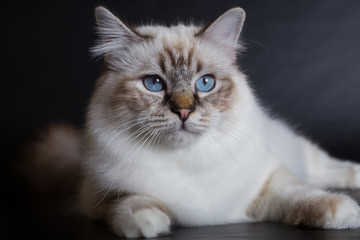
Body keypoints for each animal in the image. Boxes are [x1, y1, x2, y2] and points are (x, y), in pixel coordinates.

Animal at [28, 5, 360, 238]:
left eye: (205, 83)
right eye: (153, 84)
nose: (184, 111)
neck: (188, 160)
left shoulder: (268, 181)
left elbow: (302, 195)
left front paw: (344, 211)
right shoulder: (100, 194)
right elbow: (130, 201)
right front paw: (147, 223)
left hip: (301, 153)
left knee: (325, 169)